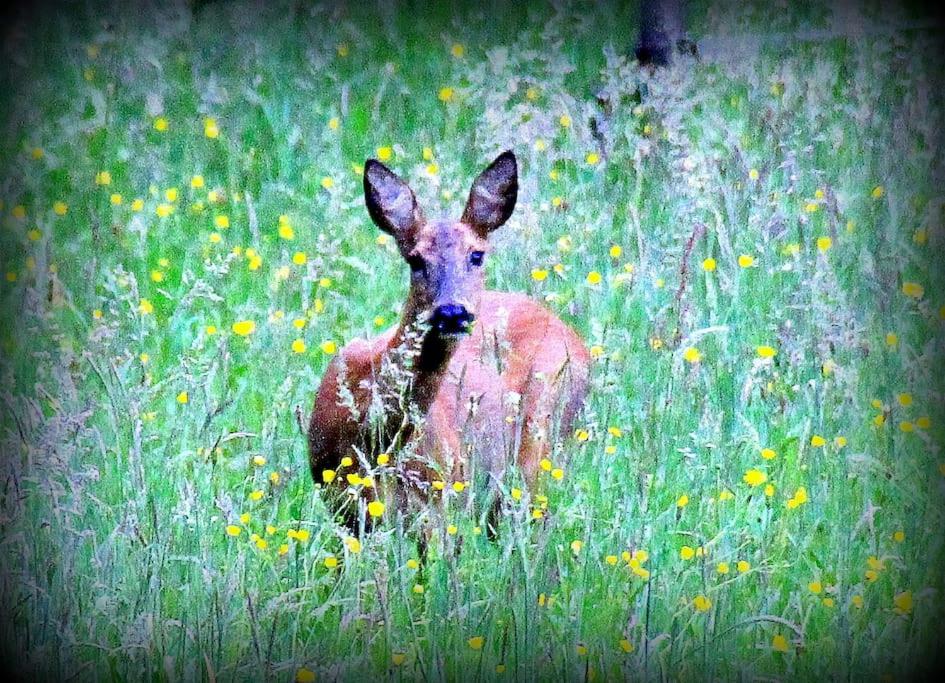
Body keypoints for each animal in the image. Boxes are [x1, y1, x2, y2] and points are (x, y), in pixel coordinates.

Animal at [310, 150, 592, 536]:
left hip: (545, 442)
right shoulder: (340, 501)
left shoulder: (440, 498)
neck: (374, 438)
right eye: (415, 259)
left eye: (476, 255)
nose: (452, 312)